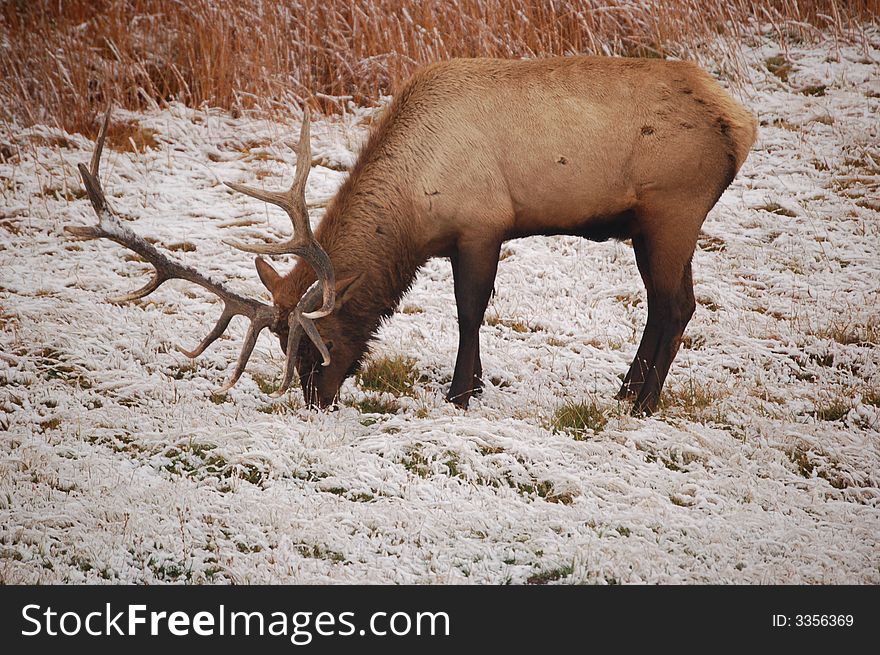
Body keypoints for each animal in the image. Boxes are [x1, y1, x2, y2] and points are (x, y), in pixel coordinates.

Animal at [69, 56, 756, 416]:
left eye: (318, 340)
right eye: (284, 348)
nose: (316, 399)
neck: (414, 214)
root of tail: (742, 123)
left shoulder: (482, 225)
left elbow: (469, 312)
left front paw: (461, 393)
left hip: (673, 210)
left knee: (671, 305)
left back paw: (638, 402)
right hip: (656, 223)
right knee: (675, 305)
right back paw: (626, 393)